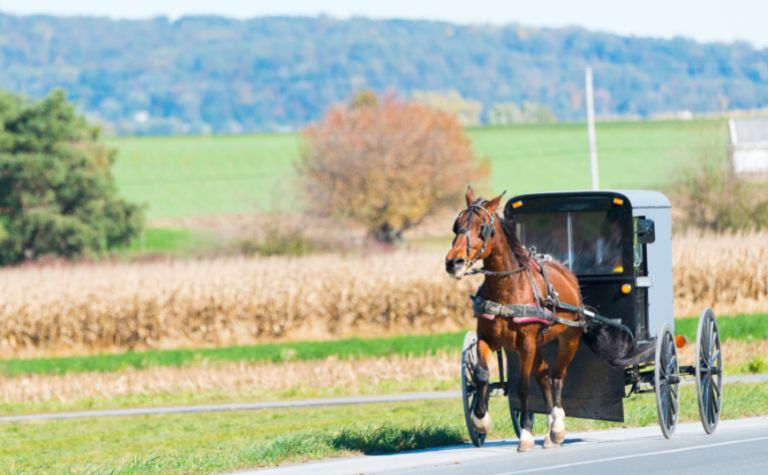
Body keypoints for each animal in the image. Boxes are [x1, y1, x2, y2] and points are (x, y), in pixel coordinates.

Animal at [444, 188, 648, 452]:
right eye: (456, 225)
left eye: (482, 228)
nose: (453, 262)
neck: (507, 290)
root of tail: (568, 274)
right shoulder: (487, 338)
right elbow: (481, 375)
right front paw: (480, 420)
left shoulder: (526, 344)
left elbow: (523, 387)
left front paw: (525, 436)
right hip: (538, 344)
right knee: (544, 375)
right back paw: (551, 431)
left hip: (568, 339)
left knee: (557, 376)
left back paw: (557, 428)